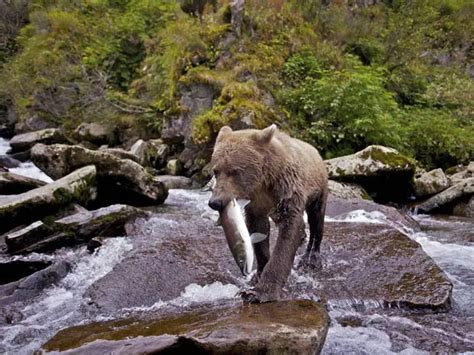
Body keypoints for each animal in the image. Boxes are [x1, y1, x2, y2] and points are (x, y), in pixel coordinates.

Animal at [209, 124, 328, 304]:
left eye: (235, 171)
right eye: (216, 170)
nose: (215, 202)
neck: (263, 182)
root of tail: (316, 152)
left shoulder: (287, 191)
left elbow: (288, 233)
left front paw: (260, 292)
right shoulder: (256, 203)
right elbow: (259, 231)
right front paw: (256, 276)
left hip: (318, 190)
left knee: (317, 220)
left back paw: (311, 258)